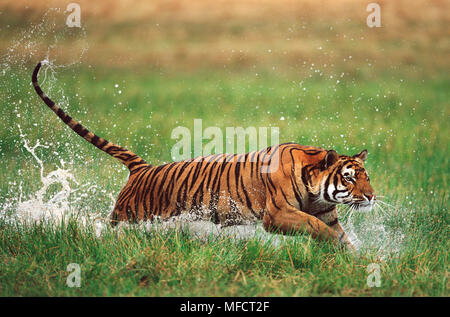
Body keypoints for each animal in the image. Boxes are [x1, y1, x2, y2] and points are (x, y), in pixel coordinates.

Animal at [32, 61, 376, 249]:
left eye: (367, 177)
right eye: (348, 178)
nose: (372, 196)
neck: (316, 186)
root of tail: (141, 168)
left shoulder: (326, 213)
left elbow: (341, 236)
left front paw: (357, 259)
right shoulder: (277, 214)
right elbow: (317, 228)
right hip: (126, 217)